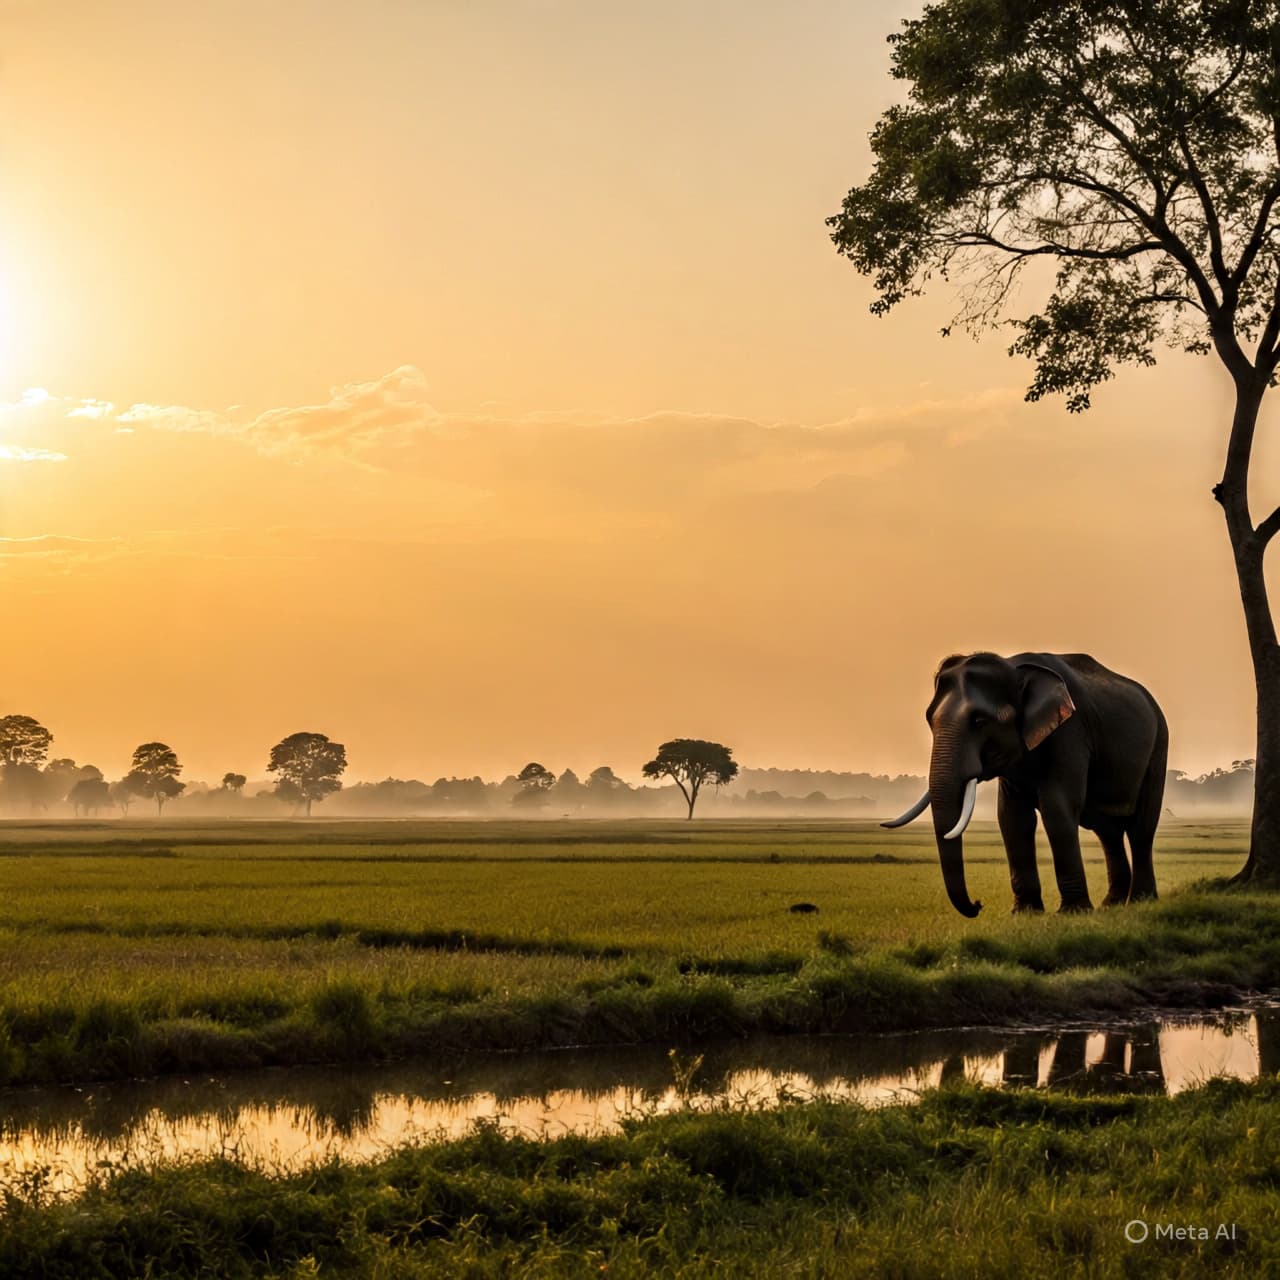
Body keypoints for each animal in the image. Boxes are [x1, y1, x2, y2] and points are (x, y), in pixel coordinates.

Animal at [883, 652, 1168, 917]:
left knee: (1141, 828)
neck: (1014, 668)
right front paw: (1025, 913)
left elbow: (1057, 808)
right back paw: (1112, 905)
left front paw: (1072, 913)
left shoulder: (1071, 732)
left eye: (979, 721)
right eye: (929, 720)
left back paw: (1141, 901)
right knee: (1108, 831)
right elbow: (1012, 817)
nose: (978, 904)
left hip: (1158, 747)